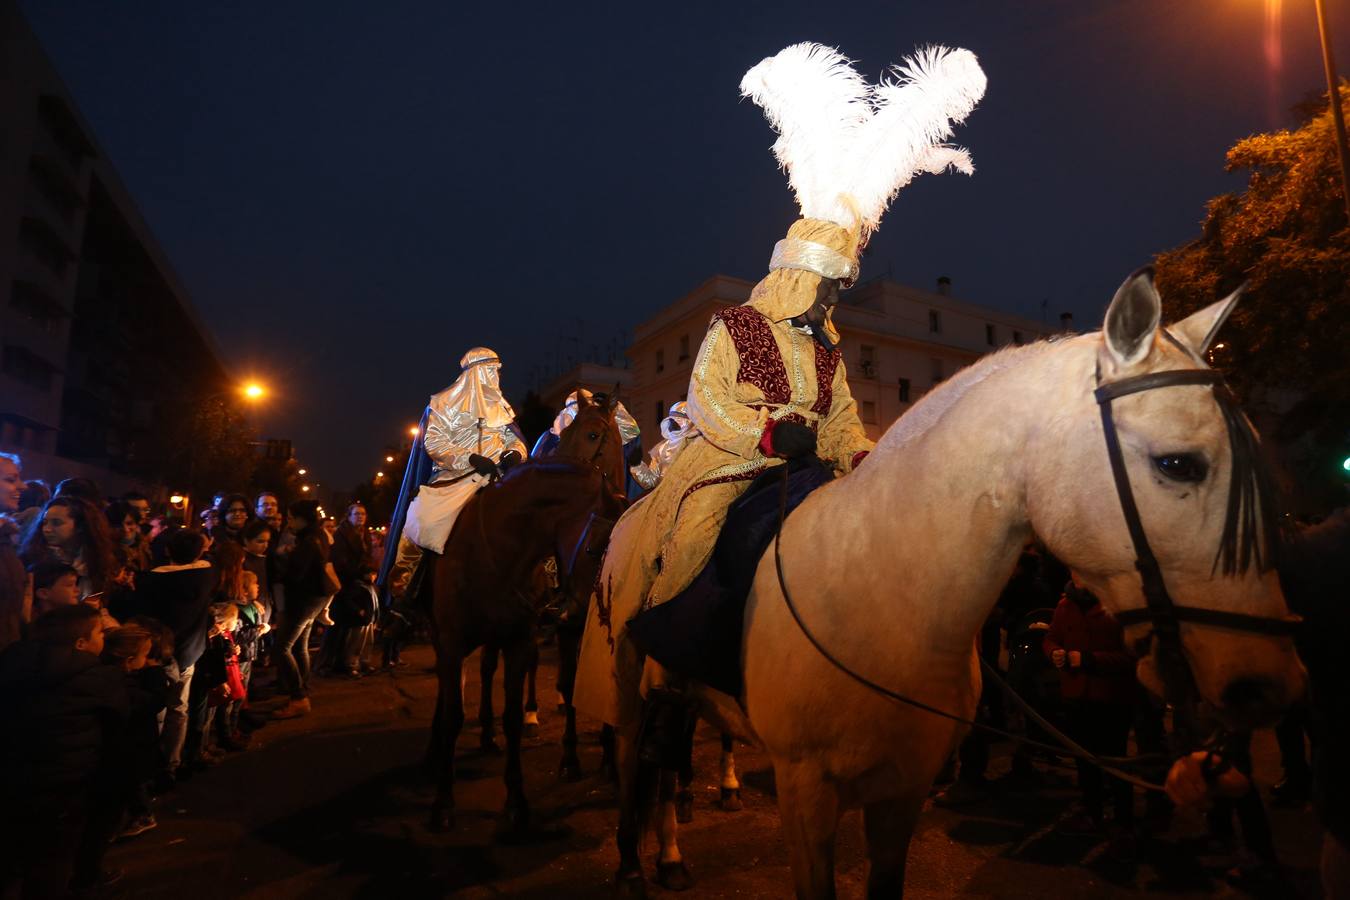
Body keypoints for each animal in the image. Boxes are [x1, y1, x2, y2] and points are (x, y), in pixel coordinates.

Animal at [426, 394, 626, 836]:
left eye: (594, 434)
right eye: (569, 431)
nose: (581, 600)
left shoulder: (521, 637)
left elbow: (516, 716)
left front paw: (517, 801)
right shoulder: (454, 640)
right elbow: (453, 714)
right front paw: (444, 803)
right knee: (457, 693)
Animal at [575, 271, 1301, 895]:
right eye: (1180, 464)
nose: (1271, 684)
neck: (889, 593)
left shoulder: (904, 792)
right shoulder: (804, 794)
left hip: (679, 694)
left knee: (666, 764)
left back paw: (669, 857)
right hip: (628, 682)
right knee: (637, 759)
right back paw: (631, 862)